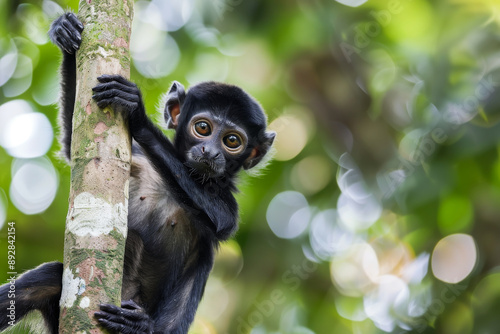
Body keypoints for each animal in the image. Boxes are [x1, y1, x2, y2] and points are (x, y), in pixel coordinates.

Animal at [0, 11, 276, 332]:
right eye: (203, 128)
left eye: (232, 141)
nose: (210, 151)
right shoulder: (139, 157)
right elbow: (73, 147)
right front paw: (66, 33)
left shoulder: (225, 196)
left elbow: (222, 220)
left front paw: (138, 114)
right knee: (46, 279)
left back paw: (138, 325)